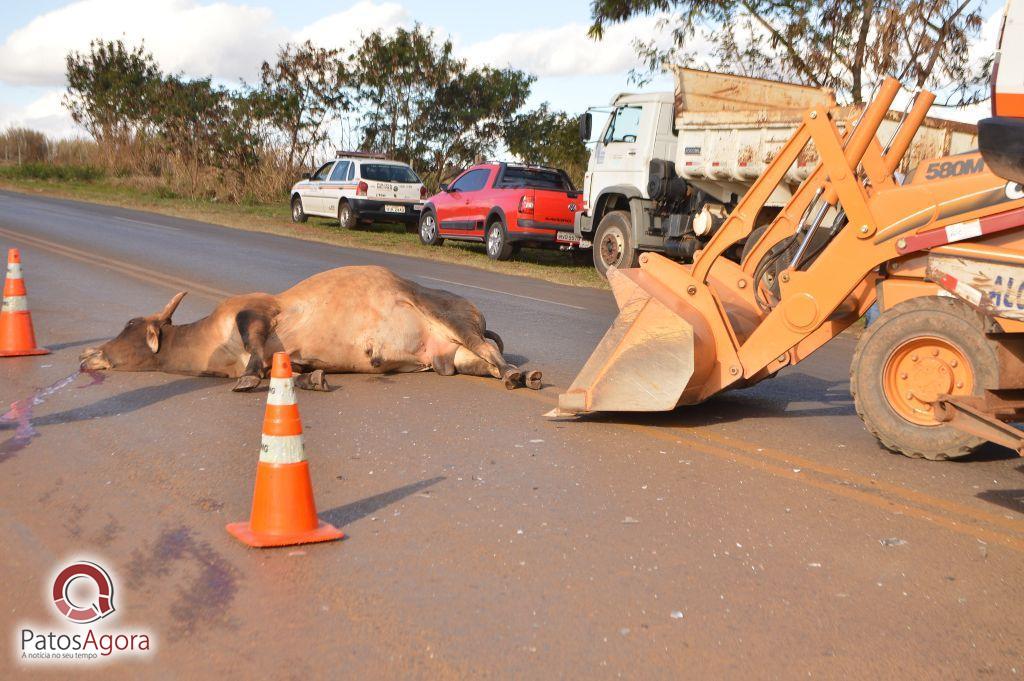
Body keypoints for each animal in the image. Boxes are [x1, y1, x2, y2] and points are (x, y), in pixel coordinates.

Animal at [80, 266, 544, 393]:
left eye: (128, 324)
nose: (86, 355)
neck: (211, 341)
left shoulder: (256, 311)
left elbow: (254, 347)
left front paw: (248, 378)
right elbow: (296, 371)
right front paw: (315, 379)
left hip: (450, 317)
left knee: (492, 352)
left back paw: (521, 375)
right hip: (452, 357)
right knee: (481, 360)